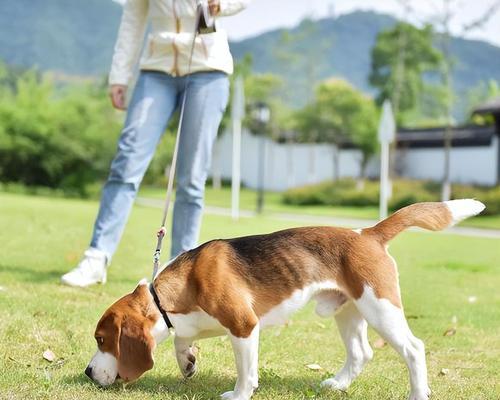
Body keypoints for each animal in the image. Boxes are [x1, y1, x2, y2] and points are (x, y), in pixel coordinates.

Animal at [86, 200, 484, 400]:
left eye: (102, 340)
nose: (88, 373)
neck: (168, 294)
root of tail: (367, 233)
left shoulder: (244, 326)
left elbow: (246, 372)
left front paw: (238, 394)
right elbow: (181, 338)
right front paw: (187, 362)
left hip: (379, 307)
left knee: (414, 349)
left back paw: (418, 393)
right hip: (349, 309)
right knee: (361, 353)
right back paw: (338, 385)